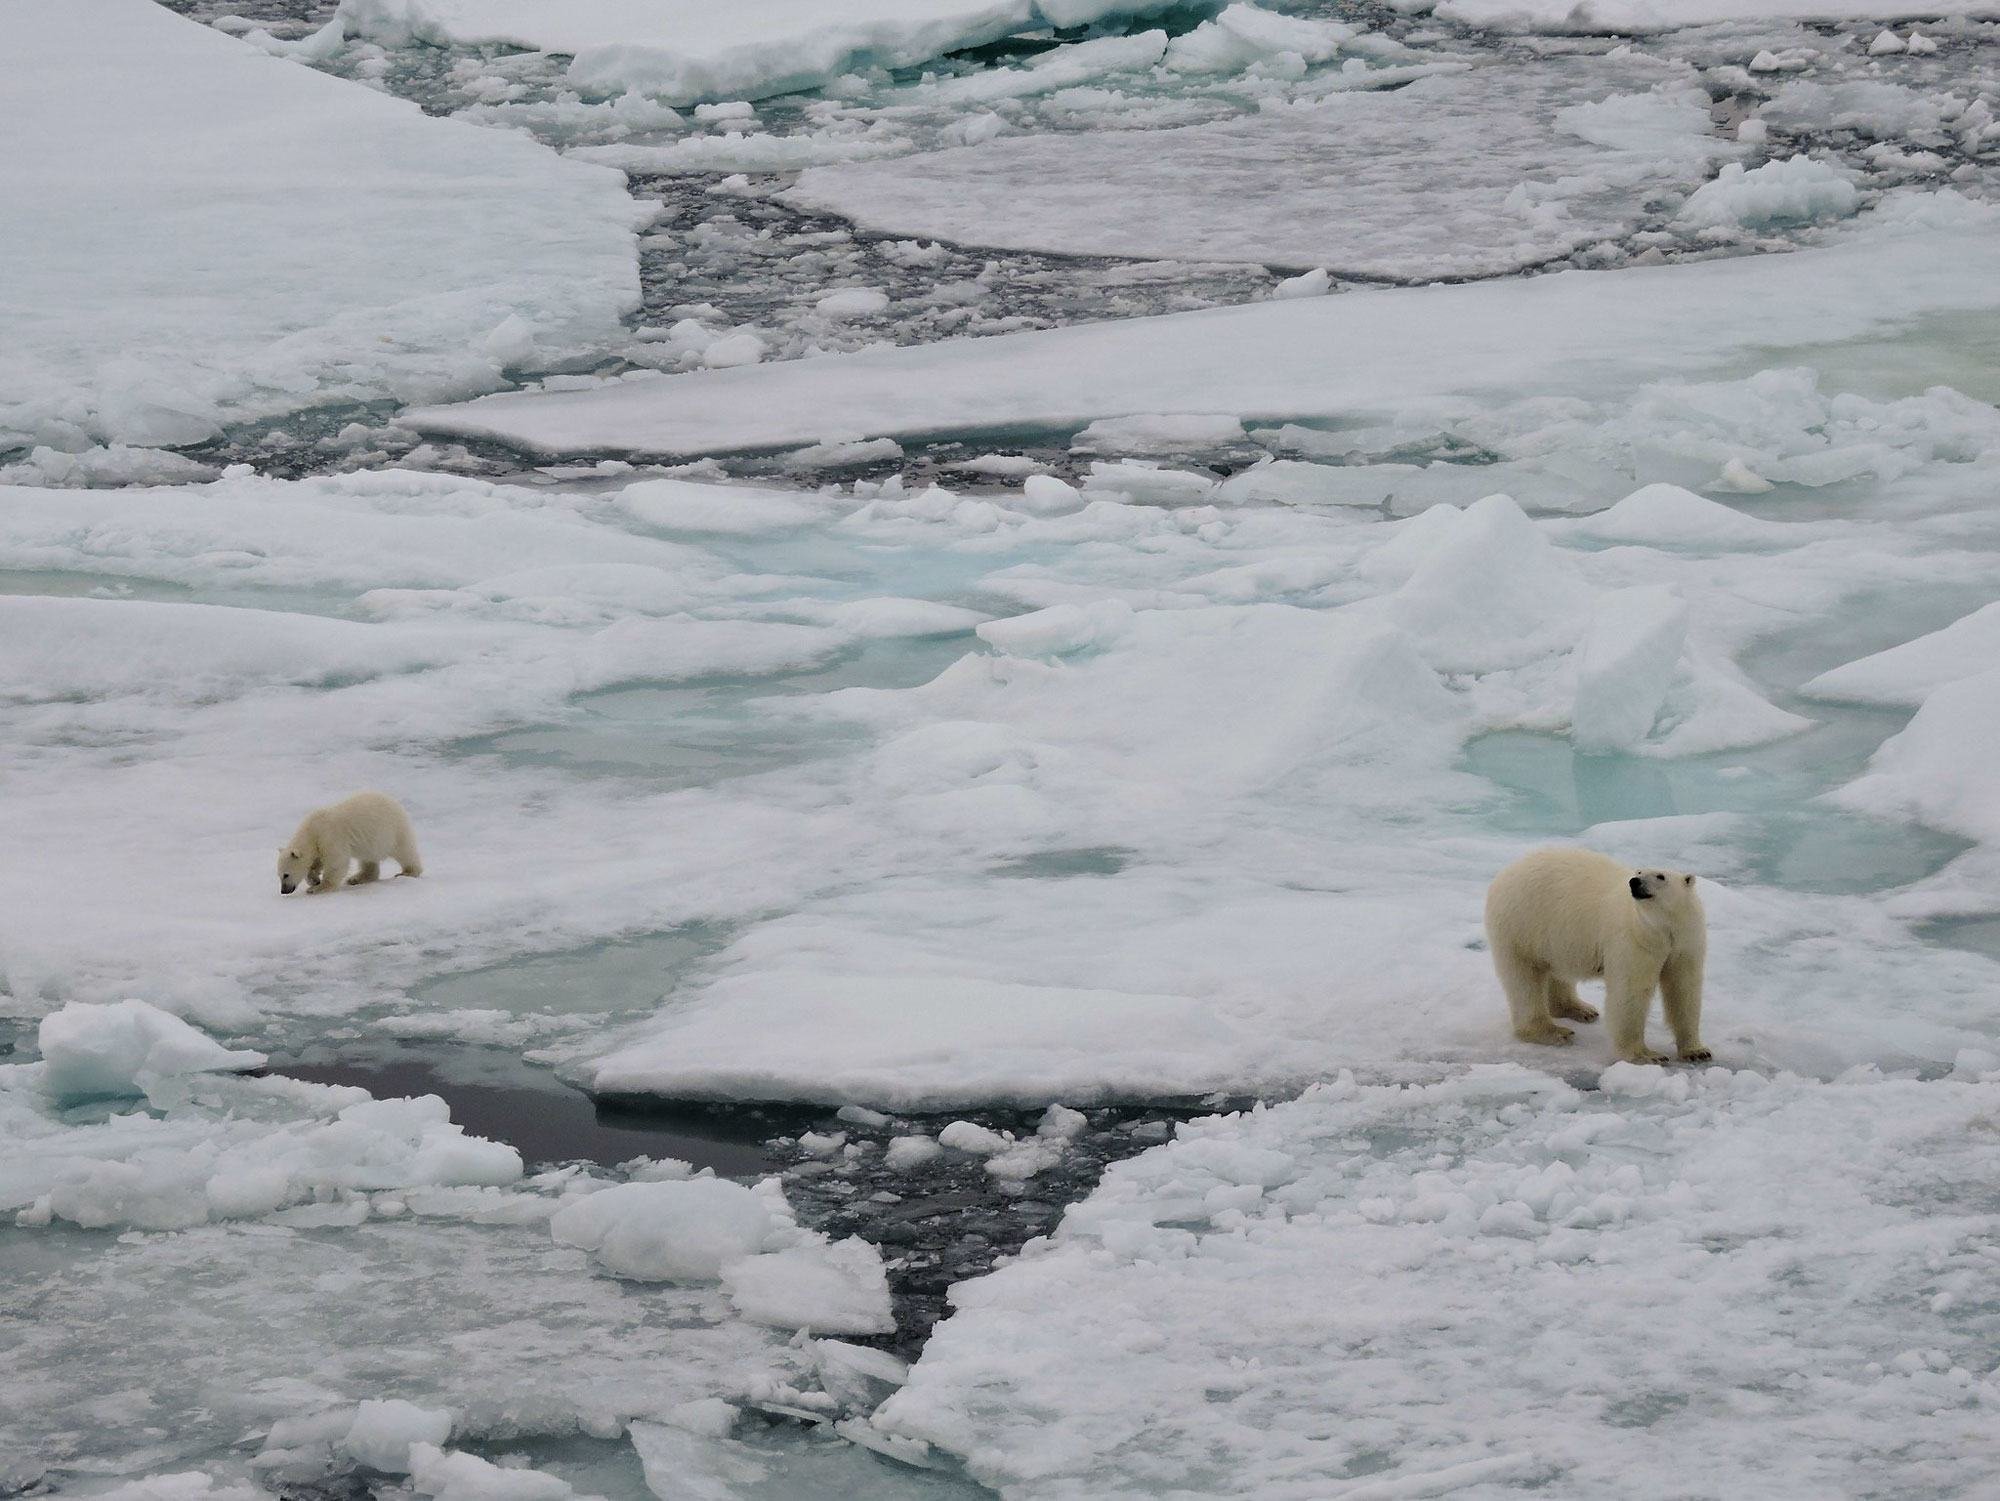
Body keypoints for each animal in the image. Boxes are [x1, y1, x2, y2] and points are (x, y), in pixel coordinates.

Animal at [1480, 848, 1712, 1072]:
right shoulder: (1634, 939)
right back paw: (1553, 1031)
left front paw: (1697, 1051)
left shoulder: (1686, 943)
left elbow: (1684, 989)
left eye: (1660, 876)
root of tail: (1503, 874)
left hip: (1553, 936)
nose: (1634, 882)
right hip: (1521, 925)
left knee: (1557, 970)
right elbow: (1630, 992)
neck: (1663, 930)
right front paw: (1647, 1056)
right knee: (1524, 981)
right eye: (1638, 871)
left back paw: (1580, 1010)